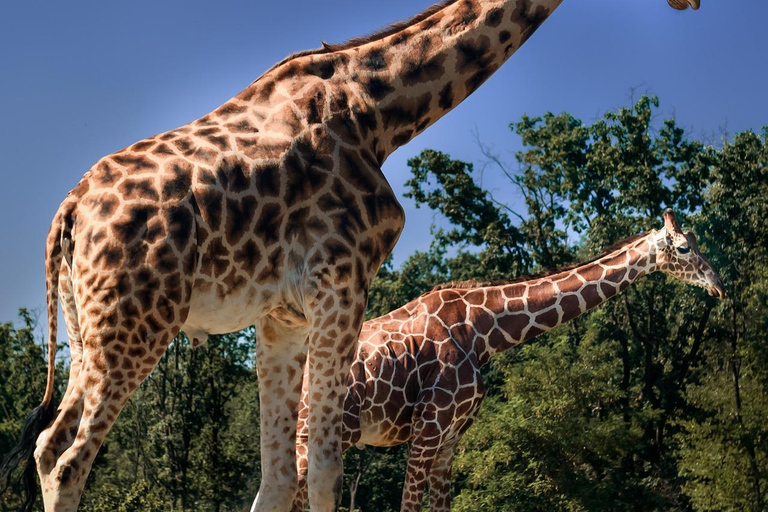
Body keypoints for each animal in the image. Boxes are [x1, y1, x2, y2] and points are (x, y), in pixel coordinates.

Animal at [292, 209, 724, 512]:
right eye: (684, 247)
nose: (718, 285)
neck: (482, 332)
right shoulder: (427, 431)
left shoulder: (450, 440)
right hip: (320, 433)